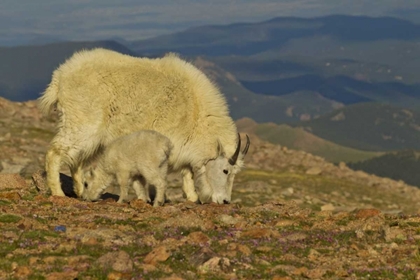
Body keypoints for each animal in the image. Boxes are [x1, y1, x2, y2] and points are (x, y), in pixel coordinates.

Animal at [38, 48, 249, 205]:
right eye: (226, 171)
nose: (225, 201)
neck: (196, 114)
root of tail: (59, 78)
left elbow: (187, 172)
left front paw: (192, 197)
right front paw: (156, 198)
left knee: (77, 160)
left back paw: (81, 191)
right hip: (82, 123)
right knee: (56, 152)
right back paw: (58, 193)